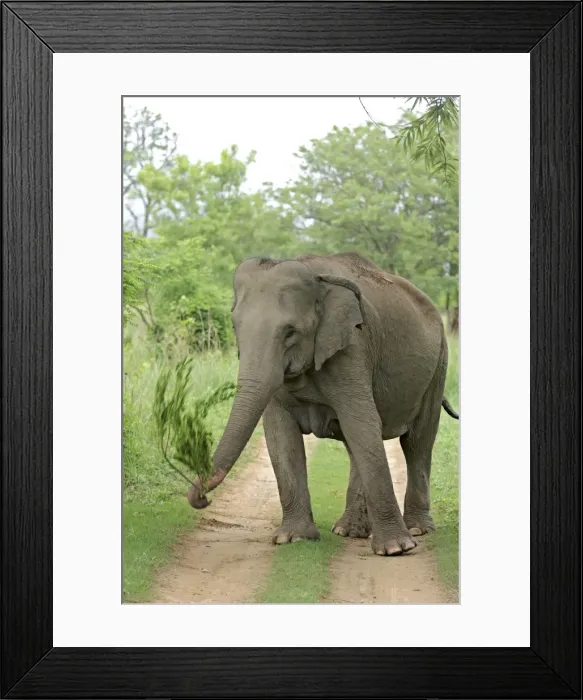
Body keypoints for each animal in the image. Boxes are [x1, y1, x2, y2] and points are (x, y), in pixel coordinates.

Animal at [187, 252, 459, 556]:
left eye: (290, 332)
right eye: (235, 328)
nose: (203, 500)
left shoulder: (353, 348)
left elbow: (362, 423)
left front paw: (395, 549)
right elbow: (281, 435)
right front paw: (293, 538)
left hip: (438, 364)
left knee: (416, 442)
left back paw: (417, 529)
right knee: (359, 445)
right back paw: (349, 530)